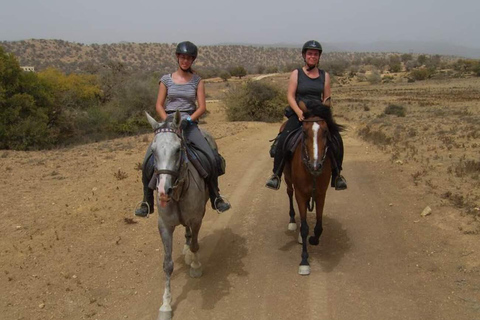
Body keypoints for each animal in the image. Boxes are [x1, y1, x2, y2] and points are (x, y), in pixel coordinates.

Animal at [284, 100, 340, 276]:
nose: (316, 165)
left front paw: (314, 239)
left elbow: (319, 226)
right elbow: (304, 228)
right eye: (304, 132)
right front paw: (304, 261)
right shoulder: (300, 194)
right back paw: (292, 221)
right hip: (287, 179)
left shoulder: (321, 194)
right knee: (289, 193)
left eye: (325, 132)